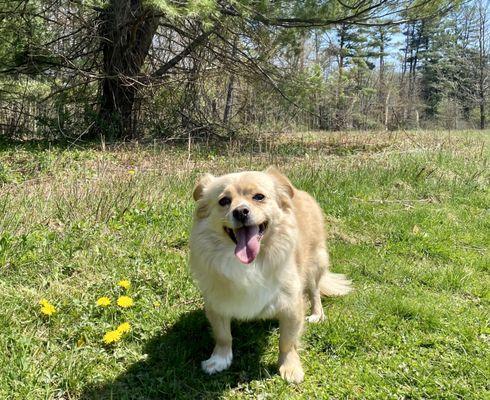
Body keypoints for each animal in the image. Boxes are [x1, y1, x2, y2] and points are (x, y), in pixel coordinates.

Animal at [189, 167, 352, 382]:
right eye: (224, 201)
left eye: (259, 197)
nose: (240, 211)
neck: (252, 264)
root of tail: (300, 191)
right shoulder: (217, 303)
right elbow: (223, 336)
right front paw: (219, 360)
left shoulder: (291, 305)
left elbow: (287, 341)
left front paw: (289, 367)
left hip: (315, 264)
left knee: (314, 291)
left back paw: (317, 314)